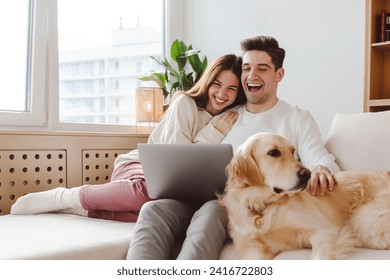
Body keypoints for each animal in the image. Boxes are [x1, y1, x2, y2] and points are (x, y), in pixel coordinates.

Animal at [218, 132, 390, 260]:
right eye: (273, 153)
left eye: (293, 151)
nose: (307, 174)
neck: (263, 205)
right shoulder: (252, 248)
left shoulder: (325, 230)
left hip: (365, 220)